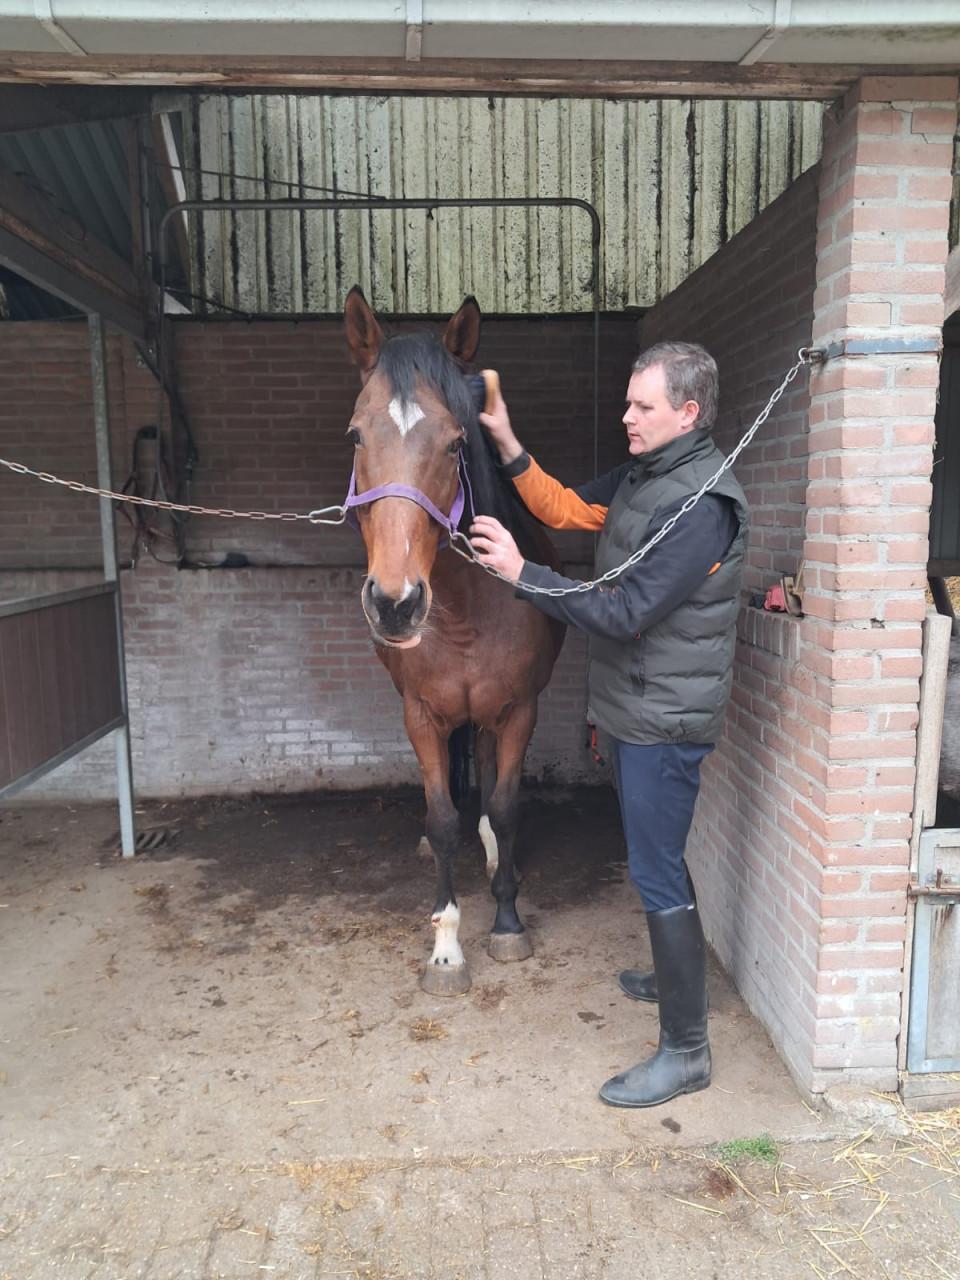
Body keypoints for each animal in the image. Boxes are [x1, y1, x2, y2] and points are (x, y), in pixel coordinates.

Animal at [342, 286, 564, 995]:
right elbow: (442, 819)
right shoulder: (422, 715)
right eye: (356, 435)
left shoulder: (520, 710)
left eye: (453, 442)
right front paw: (445, 948)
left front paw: (506, 920)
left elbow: (507, 805)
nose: (396, 603)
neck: (465, 611)